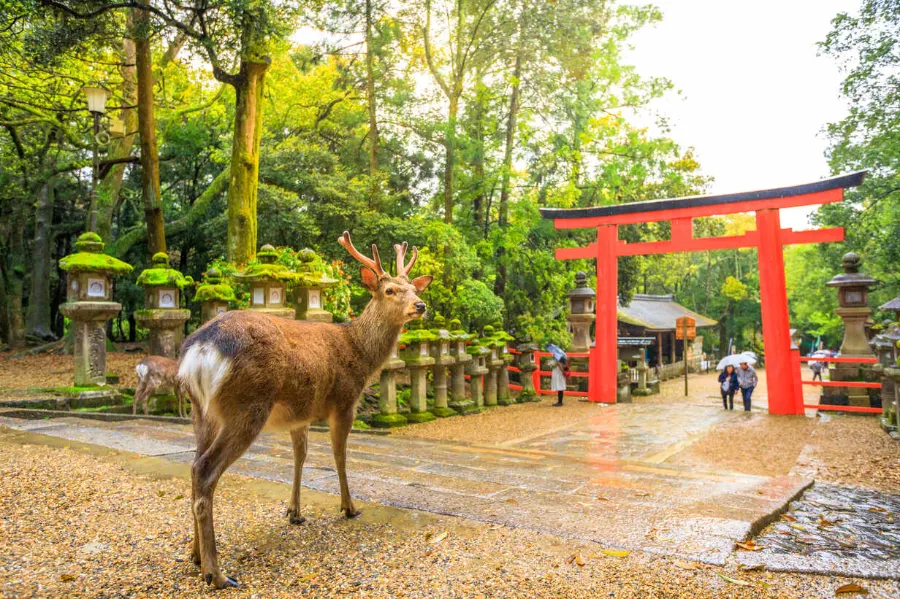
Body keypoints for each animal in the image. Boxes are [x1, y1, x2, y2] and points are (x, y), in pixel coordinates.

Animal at [175, 232, 432, 588]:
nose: (420, 305)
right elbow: (339, 456)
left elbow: (300, 457)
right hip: (247, 405)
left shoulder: (300, 414)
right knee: (205, 469)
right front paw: (349, 507)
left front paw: (294, 512)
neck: (361, 354)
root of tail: (200, 351)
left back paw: (196, 555)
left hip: (202, 411)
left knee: (193, 466)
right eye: (390, 290)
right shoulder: (344, 401)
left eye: (413, 287)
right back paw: (217, 573)